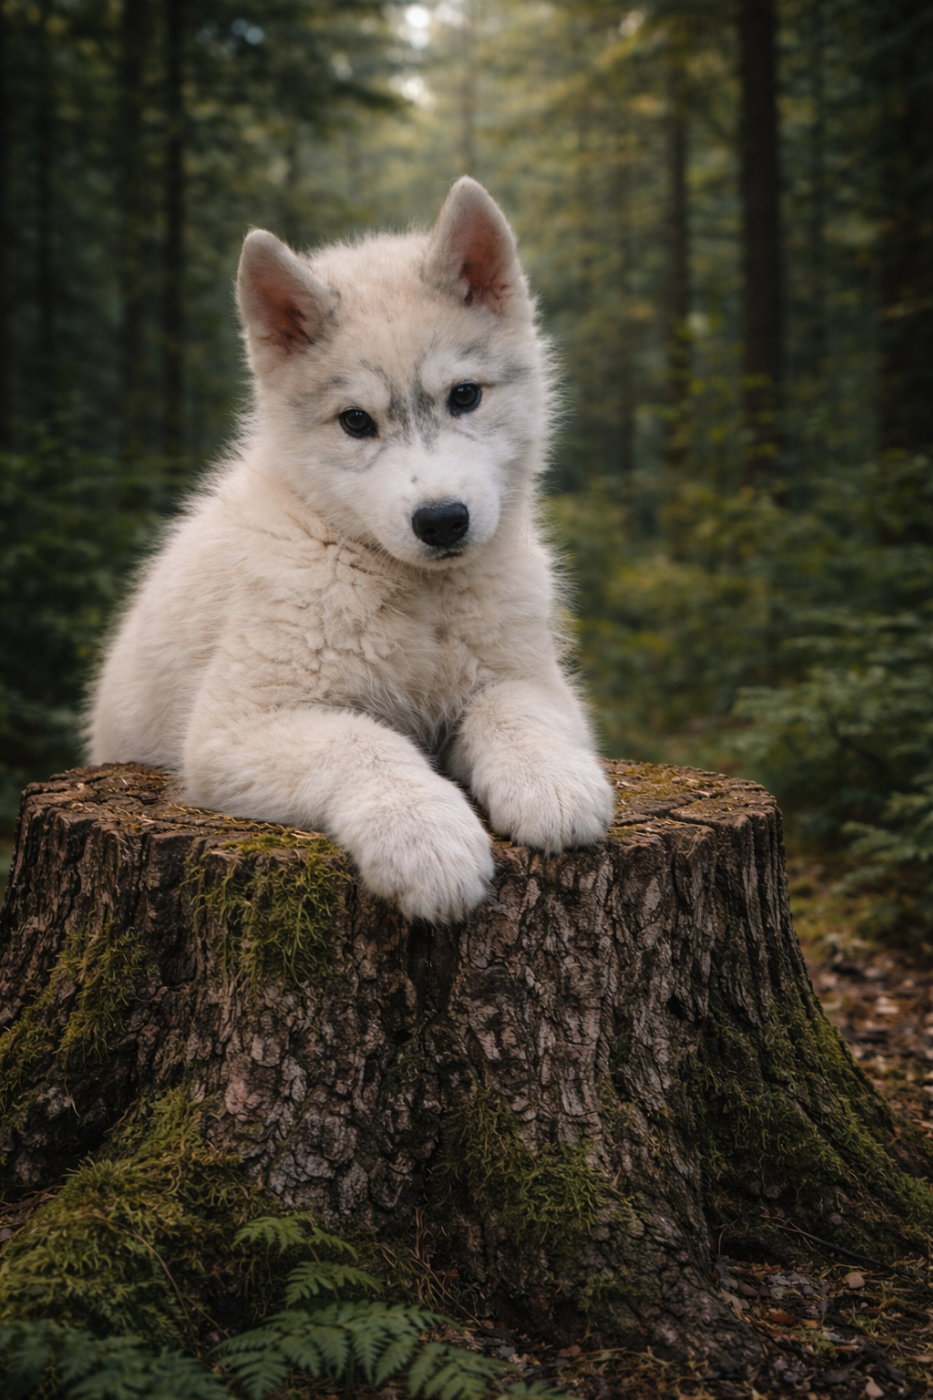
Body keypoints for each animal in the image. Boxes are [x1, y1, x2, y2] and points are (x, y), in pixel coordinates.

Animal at [88, 177, 614, 922]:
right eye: (356, 422)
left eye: (465, 396)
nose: (442, 521)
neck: (414, 592)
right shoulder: (233, 731)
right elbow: (364, 741)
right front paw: (426, 839)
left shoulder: (533, 678)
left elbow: (510, 709)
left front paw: (552, 782)